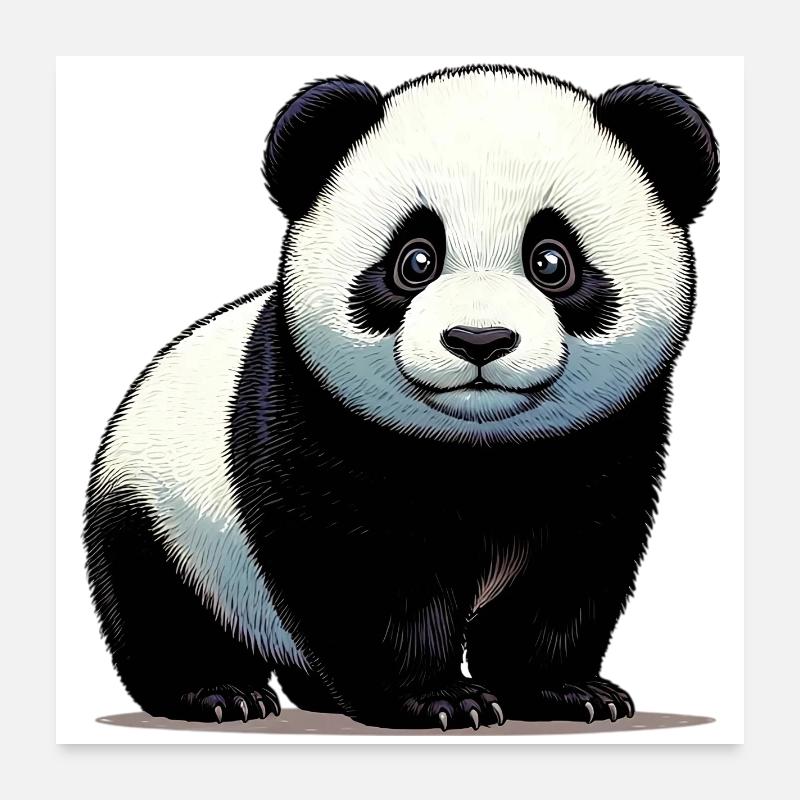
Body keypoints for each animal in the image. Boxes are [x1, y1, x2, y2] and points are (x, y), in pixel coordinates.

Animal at [84, 65, 719, 731]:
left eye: (551, 261)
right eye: (415, 260)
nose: (479, 339)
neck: (484, 446)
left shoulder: (603, 440)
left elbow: (571, 567)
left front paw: (567, 690)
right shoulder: (318, 423)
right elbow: (366, 573)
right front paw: (443, 699)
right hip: (163, 513)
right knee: (160, 604)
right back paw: (218, 692)